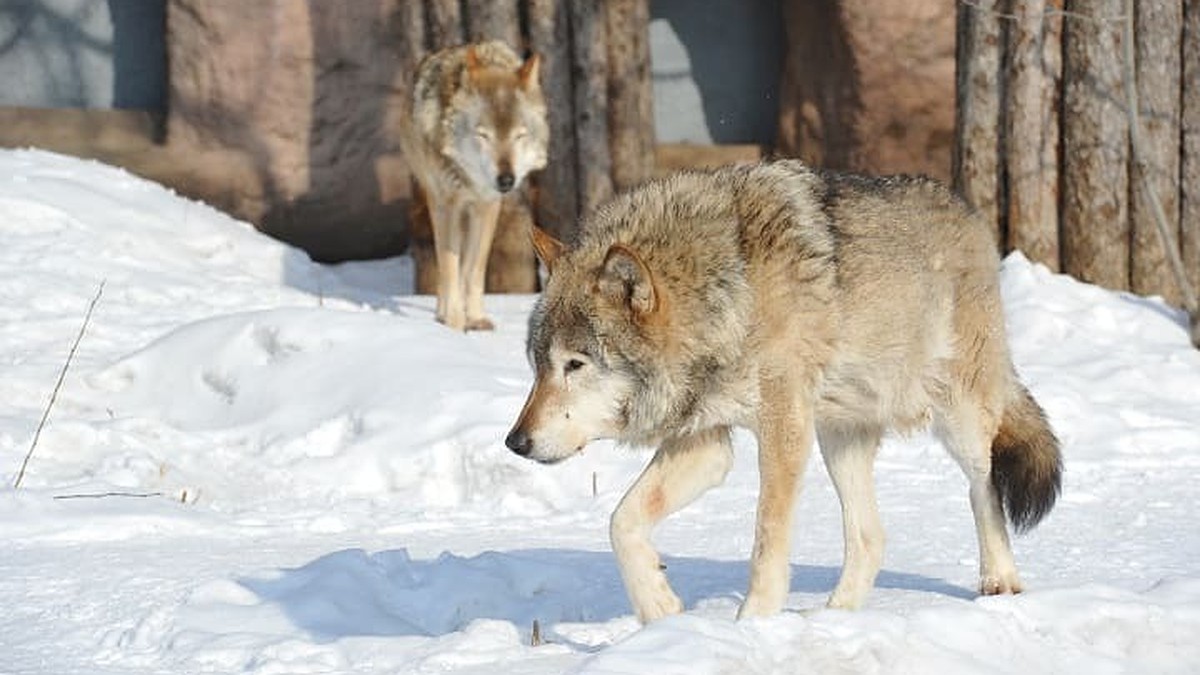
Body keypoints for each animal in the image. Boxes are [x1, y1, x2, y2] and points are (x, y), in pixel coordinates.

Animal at [398, 40, 549, 329]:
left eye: (519, 135)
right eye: (483, 135)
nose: (506, 179)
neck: (470, 181)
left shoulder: (487, 205)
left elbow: (474, 267)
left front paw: (476, 317)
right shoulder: (449, 205)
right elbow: (449, 265)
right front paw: (454, 322)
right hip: (437, 202)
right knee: (444, 262)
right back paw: (442, 312)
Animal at [504, 159, 1060, 624]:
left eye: (575, 365)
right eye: (538, 365)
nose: (515, 442)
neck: (727, 291)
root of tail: (971, 214)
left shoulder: (784, 429)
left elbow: (766, 538)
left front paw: (752, 625)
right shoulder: (706, 443)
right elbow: (620, 522)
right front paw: (661, 611)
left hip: (957, 419)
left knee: (984, 486)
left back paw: (1000, 582)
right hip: (840, 439)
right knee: (870, 537)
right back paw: (834, 619)